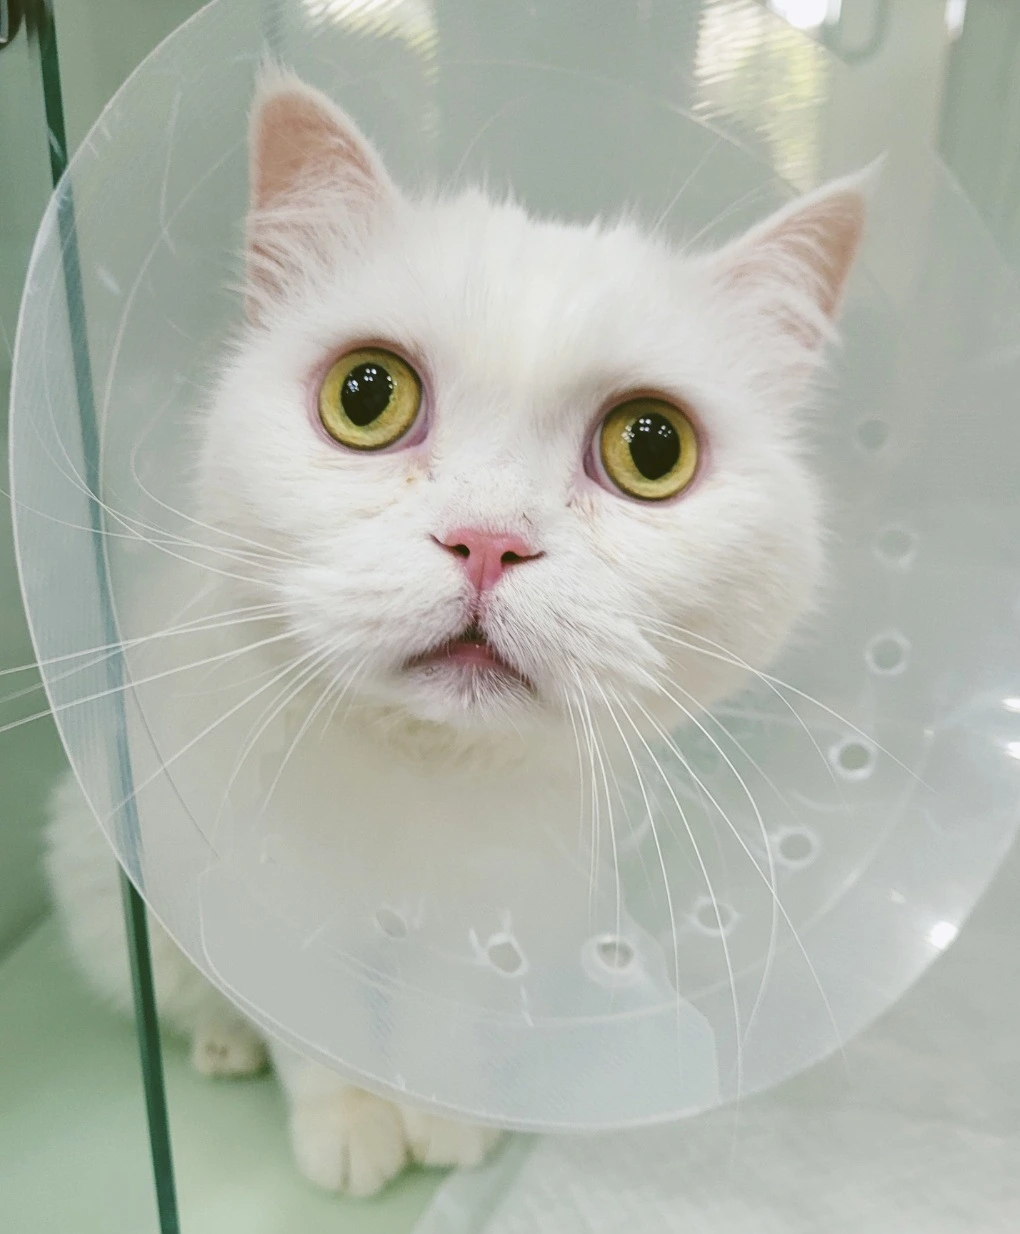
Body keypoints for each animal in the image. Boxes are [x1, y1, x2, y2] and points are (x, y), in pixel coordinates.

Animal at [44, 67, 869, 1197]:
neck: (425, 775)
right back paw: (222, 1044)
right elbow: (313, 1026)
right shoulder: (263, 897)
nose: (488, 540)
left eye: (652, 448)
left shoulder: (503, 920)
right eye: (365, 396)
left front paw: (441, 1117)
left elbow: (449, 1030)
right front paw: (351, 1124)